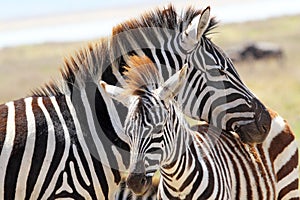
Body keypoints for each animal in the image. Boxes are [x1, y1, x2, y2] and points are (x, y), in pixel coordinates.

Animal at [102, 55, 298, 199]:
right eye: (127, 133)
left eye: (159, 128)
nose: (134, 182)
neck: (176, 183)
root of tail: (272, 113)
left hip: (289, 189)